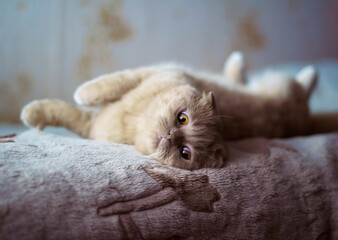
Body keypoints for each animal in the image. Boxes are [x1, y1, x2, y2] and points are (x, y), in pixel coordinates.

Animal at [20, 51, 338, 170]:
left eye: (185, 153)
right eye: (182, 118)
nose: (170, 136)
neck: (133, 122)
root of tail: (306, 122)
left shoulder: (91, 125)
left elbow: (71, 108)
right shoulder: (151, 72)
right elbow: (98, 90)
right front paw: (38, 111)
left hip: (286, 92)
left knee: (304, 83)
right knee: (244, 77)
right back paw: (238, 61)